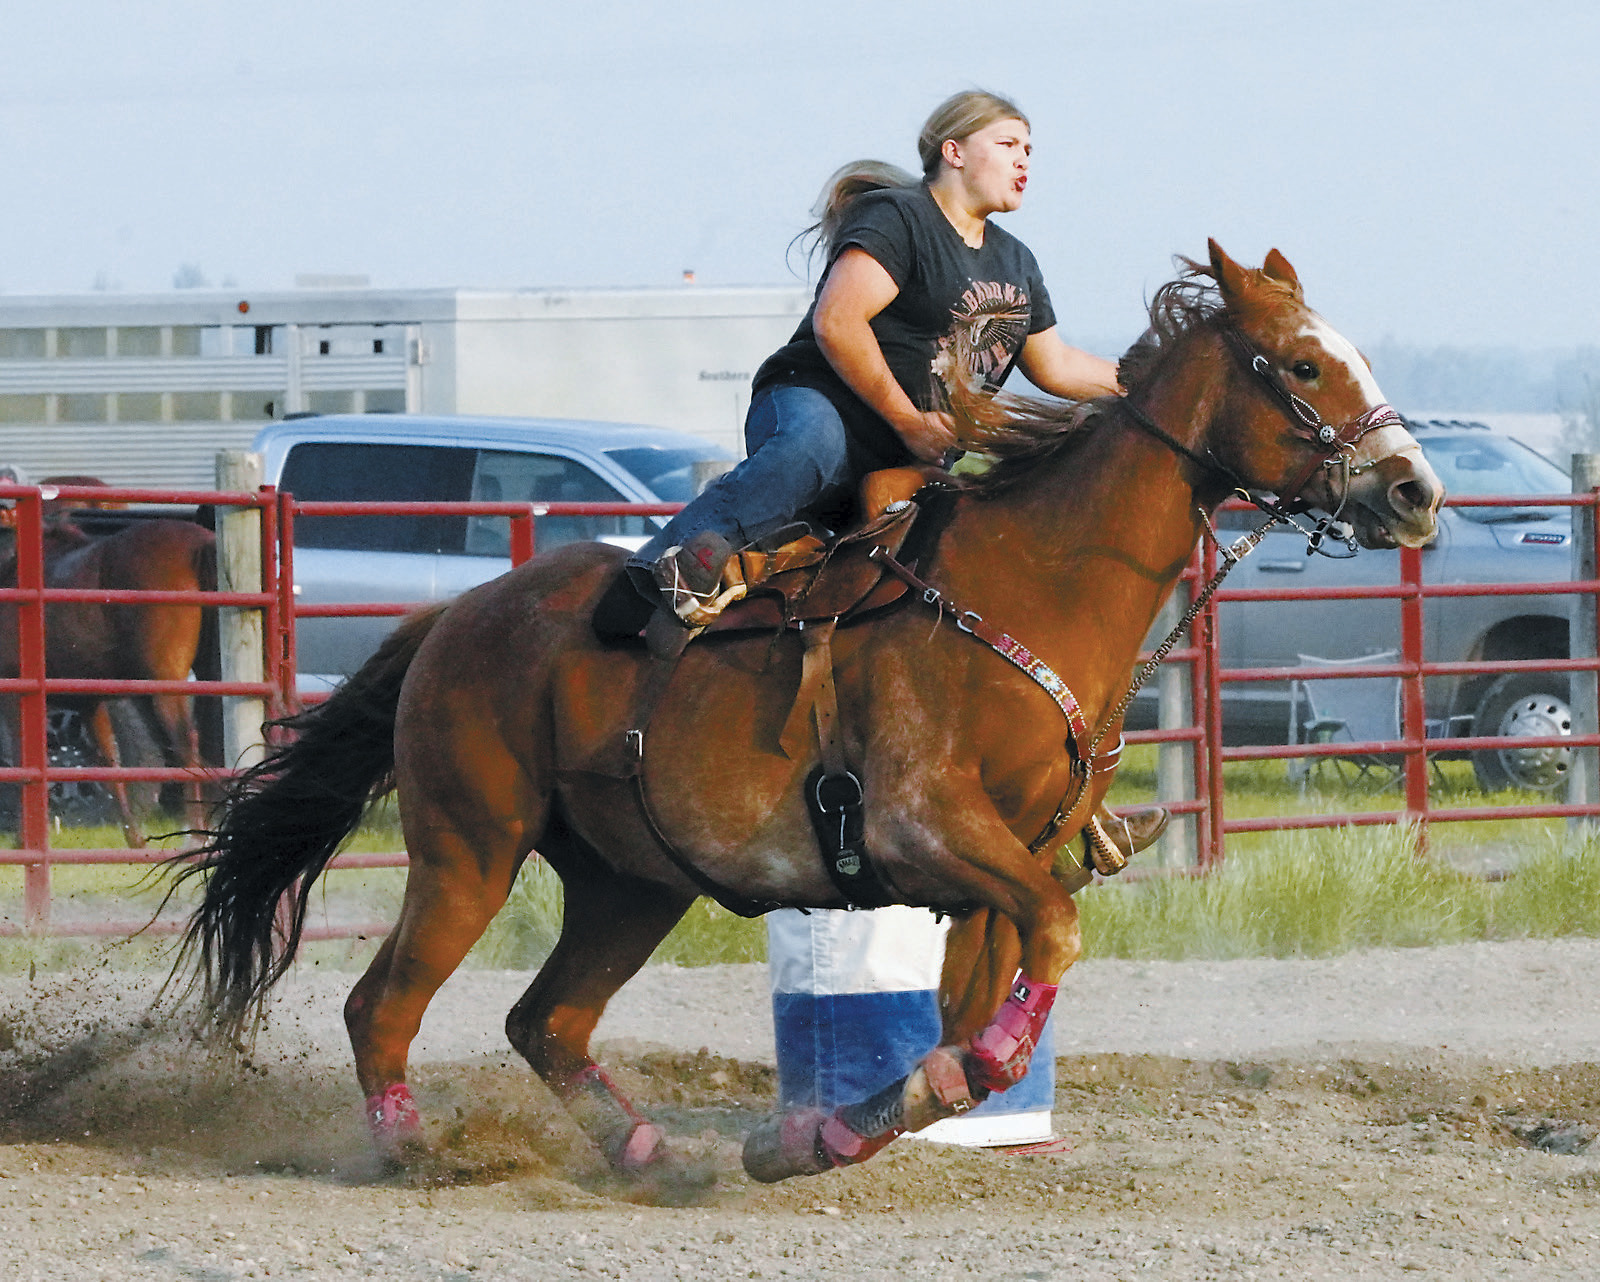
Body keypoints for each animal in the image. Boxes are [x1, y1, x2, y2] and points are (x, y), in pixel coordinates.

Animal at [0, 510, 219, 845]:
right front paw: (135, 840)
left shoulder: (16, 694)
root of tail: (199, 543)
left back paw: (195, 834)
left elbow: (25, 760)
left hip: (164, 685)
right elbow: (110, 765)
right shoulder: (91, 703)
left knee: (186, 745)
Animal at [167, 242, 1443, 1186]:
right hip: (467, 852)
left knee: (547, 1022)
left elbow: (969, 1029)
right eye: (1302, 364)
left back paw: (649, 1152)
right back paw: (415, 1149)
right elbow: (1043, 953)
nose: (1415, 490)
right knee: (383, 1004)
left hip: (632, 882)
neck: (1031, 583)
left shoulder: (1004, 867)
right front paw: (854, 1117)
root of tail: (455, 617)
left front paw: (813, 1136)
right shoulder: (928, 827)